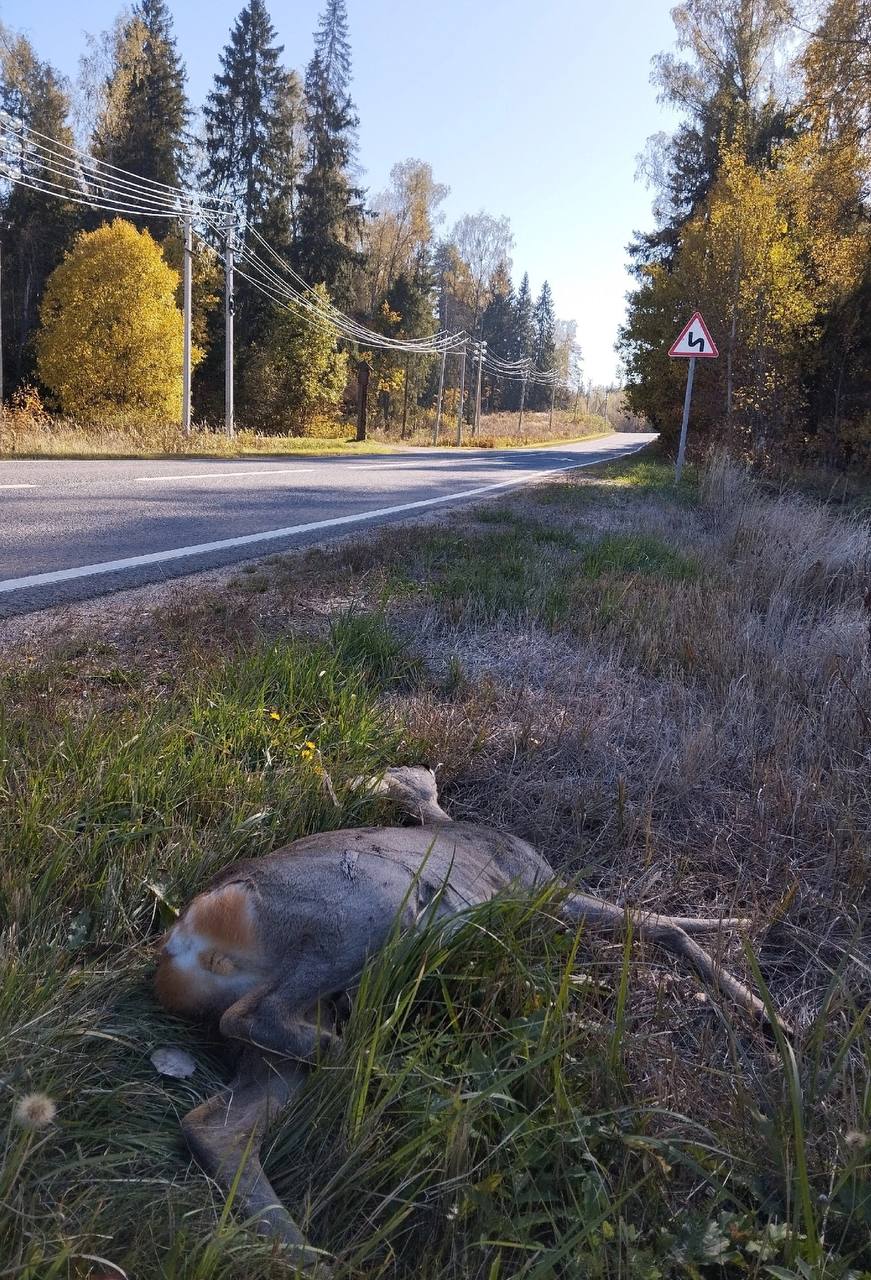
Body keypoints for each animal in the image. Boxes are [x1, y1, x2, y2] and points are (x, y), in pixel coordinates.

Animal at [154, 762, 768, 1264]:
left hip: (303, 1023)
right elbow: (661, 926)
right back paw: (386, 1068)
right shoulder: (544, 888)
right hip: (367, 917)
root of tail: (184, 943)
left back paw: (311, 1254)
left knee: (216, 1125)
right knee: (251, 1016)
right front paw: (760, 987)